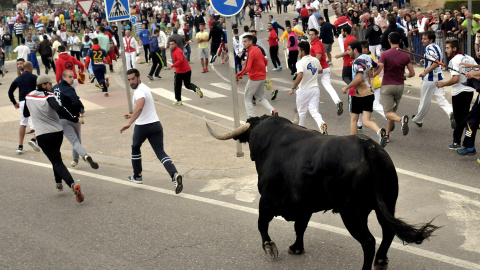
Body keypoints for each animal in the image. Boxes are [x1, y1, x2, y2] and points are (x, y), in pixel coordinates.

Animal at [206, 115, 438, 270]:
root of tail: (369, 148)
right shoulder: (304, 205)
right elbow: (300, 227)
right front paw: (296, 248)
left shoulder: (267, 199)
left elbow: (262, 224)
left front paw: (270, 247)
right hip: (387, 203)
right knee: (388, 232)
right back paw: (380, 261)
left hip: (353, 214)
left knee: (368, 242)